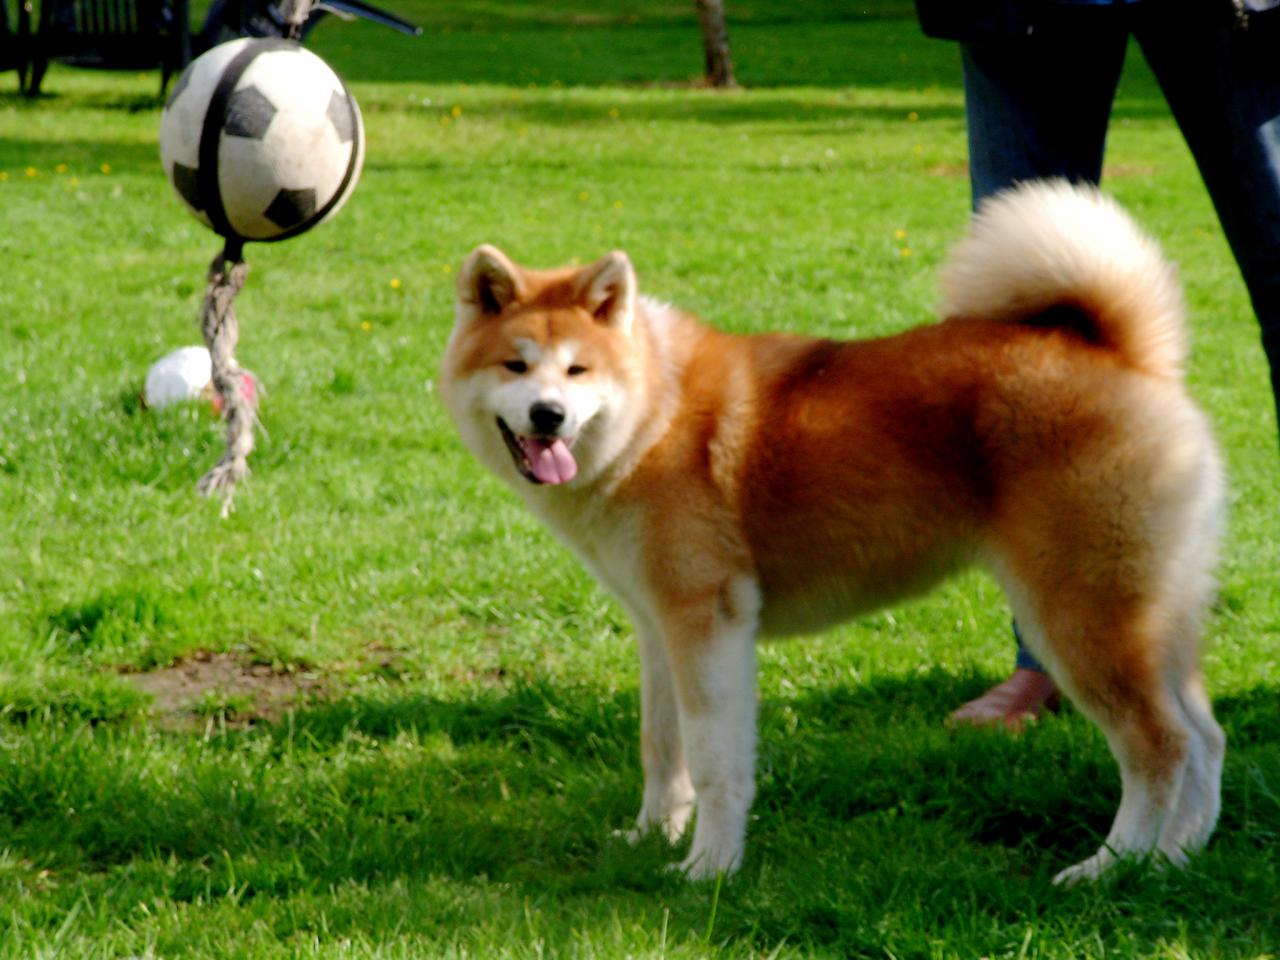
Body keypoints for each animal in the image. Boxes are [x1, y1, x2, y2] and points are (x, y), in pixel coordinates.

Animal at [440, 180, 1226, 884]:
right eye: (516, 365)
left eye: (578, 370)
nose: (548, 415)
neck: (652, 416)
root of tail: (1124, 354)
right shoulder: (657, 626)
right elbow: (662, 748)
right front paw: (648, 835)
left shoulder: (709, 625)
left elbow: (716, 761)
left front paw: (708, 868)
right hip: (1153, 618)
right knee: (1205, 739)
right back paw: (1174, 862)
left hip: (1078, 618)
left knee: (1159, 747)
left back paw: (1111, 866)